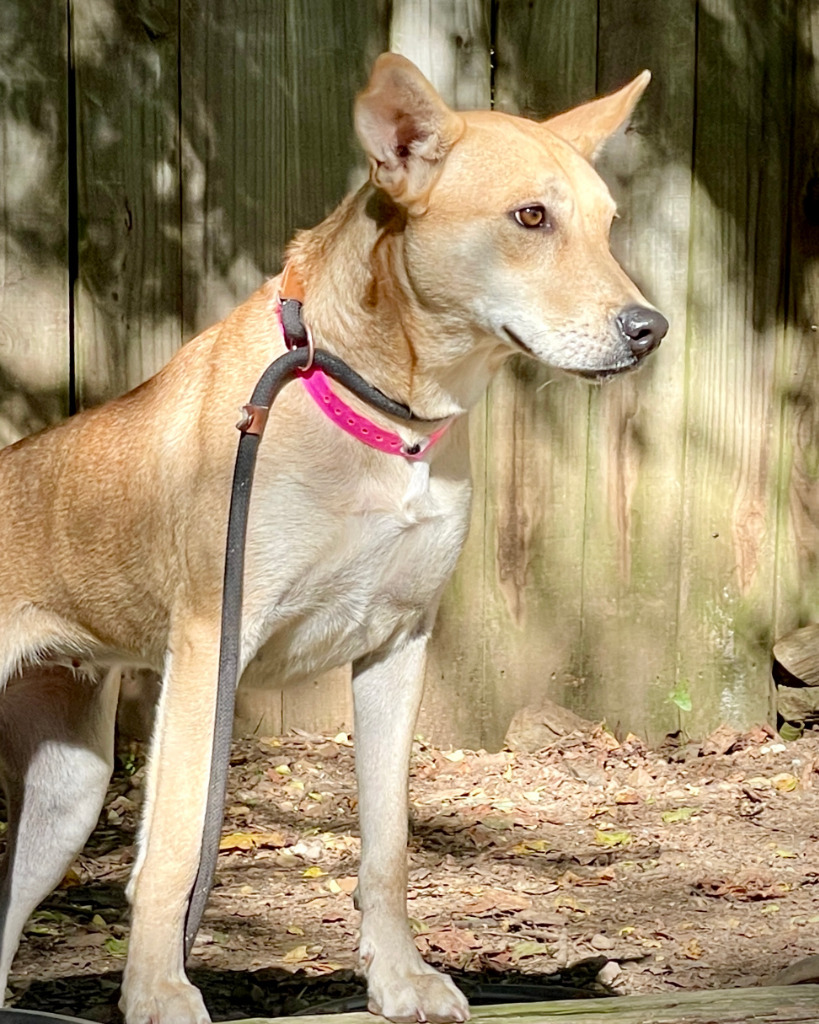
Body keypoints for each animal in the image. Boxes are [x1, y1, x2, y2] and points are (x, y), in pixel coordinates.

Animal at [0, 56, 663, 1024]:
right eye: (530, 217)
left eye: (609, 223)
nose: (650, 329)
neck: (376, 406)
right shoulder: (209, 652)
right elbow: (173, 848)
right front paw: (159, 992)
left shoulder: (396, 645)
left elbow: (387, 846)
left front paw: (399, 979)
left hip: (67, 793)